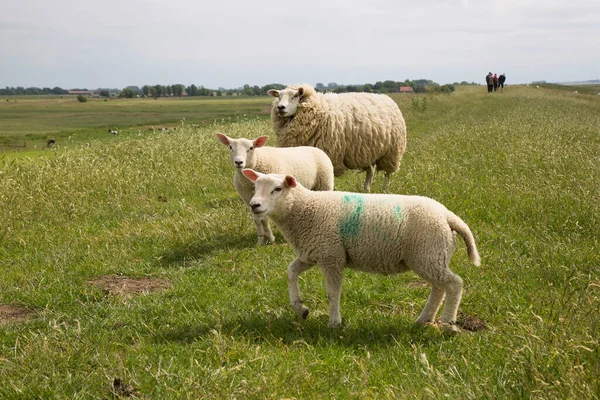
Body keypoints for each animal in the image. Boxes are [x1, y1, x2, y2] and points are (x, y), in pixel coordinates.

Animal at [241, 169, 480, 332]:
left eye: (277, 189)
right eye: (255, 187)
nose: (254, 205)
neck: (305, 208)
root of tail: (448, 216)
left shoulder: (331, 255)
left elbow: (332, 292)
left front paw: (334, 323)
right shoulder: (313, 252)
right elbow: (291, 272)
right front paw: (300, 308)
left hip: (428, 254)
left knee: (453, 284)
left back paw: (448, 322)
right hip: (431, 256)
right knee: (439, 288)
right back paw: (424, 320)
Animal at [268, 83, 406, 193]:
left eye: (295, 96)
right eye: (278, 96)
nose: (280, 107)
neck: (317, 110)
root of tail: (386, 98)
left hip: (391, 153)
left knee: (387, 174)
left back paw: (385, 190)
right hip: (368, 152)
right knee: (370, 172)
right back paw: (366, 190)